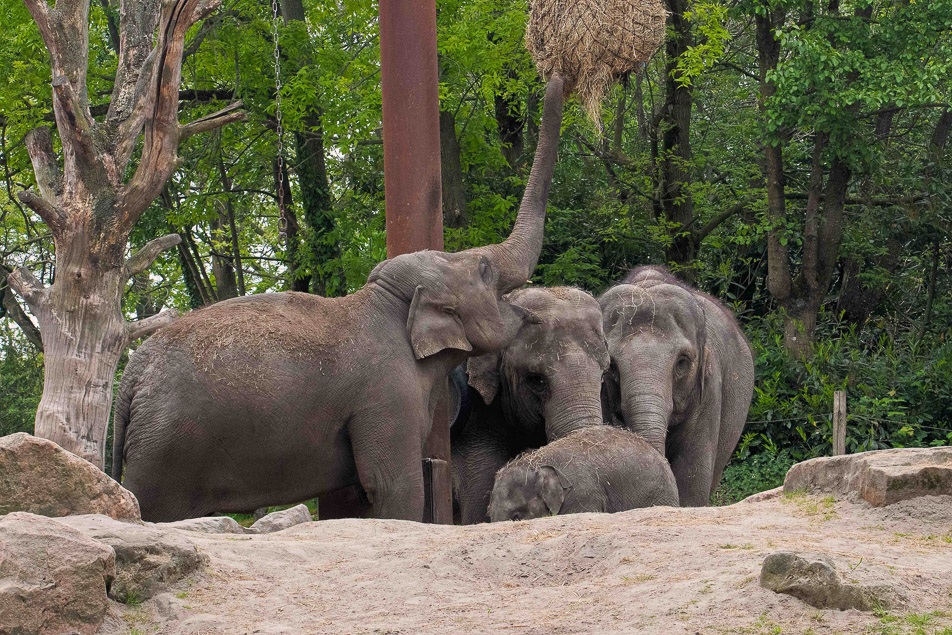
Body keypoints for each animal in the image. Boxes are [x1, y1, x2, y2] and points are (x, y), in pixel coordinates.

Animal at [110, 75, 566, 522]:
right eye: (485, 270)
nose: (556, 74)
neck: (387, 301)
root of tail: (130, 379)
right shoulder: (387, 393)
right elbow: (394, 488)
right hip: (167, 450)